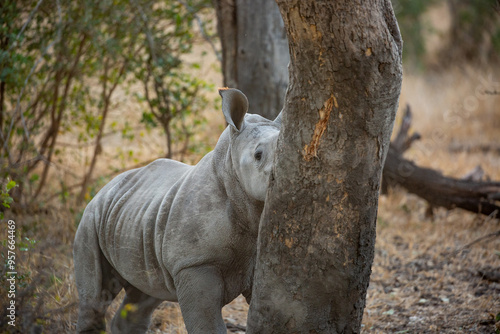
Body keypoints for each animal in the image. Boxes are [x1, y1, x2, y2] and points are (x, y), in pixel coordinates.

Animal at [75, 87, 282, 332]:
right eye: (258, 155)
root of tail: (104, 188)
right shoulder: (193, 263)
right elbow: (207, 325)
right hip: (91, 218)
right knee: (95, 299)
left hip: (136, 217)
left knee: (144, 294)